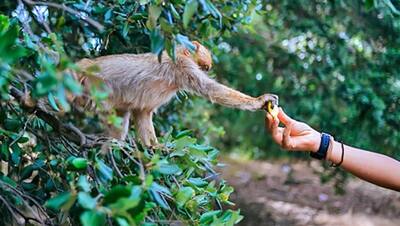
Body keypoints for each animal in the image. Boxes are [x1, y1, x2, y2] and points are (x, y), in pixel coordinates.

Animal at [72, 41, 276, 147]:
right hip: (92, 85)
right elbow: (209, 88)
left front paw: (154, 148)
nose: (206, 69)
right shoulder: (182, 65)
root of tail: (85, 65)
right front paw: (259, 101)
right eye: (203, 67)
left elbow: (143, 112)